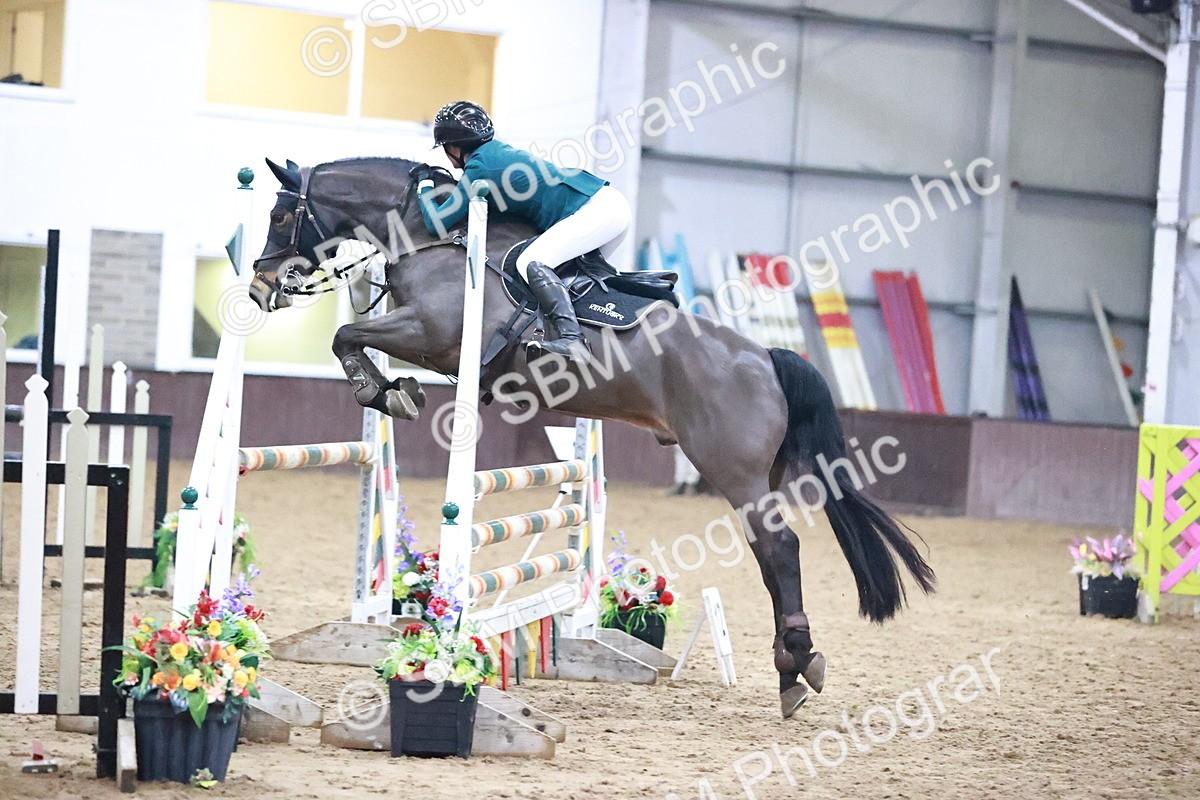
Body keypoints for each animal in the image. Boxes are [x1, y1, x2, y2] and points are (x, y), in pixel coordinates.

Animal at [248, 156, 936, 717]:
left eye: (282, 214)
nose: (259, 286)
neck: (433, 236)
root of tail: (765, 357)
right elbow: (352, 339)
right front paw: (391, 391)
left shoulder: (429, 332)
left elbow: (346, 335)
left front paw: (385, 391)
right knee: (772, 554)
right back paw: (791, 670)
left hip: (731, 470)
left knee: (780, 548)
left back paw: (797, 662)